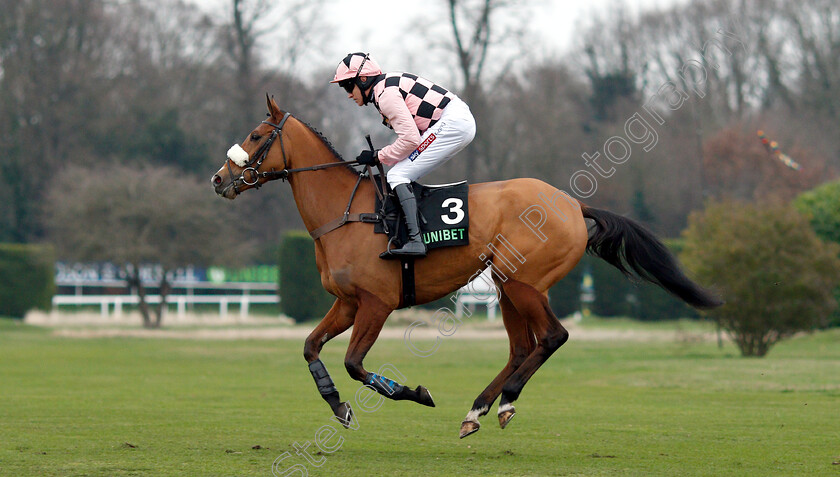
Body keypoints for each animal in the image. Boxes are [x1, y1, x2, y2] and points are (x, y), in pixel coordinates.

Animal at [212, 96, 720, 438]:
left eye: (255, 136)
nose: (219, 180)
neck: (348, 212)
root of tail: (573, 203)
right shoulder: (348, 303)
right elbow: (310, 348)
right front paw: (339, 407)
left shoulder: (378, 303)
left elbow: (356, 364)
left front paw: (414, 393)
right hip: (507, 284)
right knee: (522, 346)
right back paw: (477, 410)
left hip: (525, 282)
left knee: (552, 337)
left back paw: (506, 401)